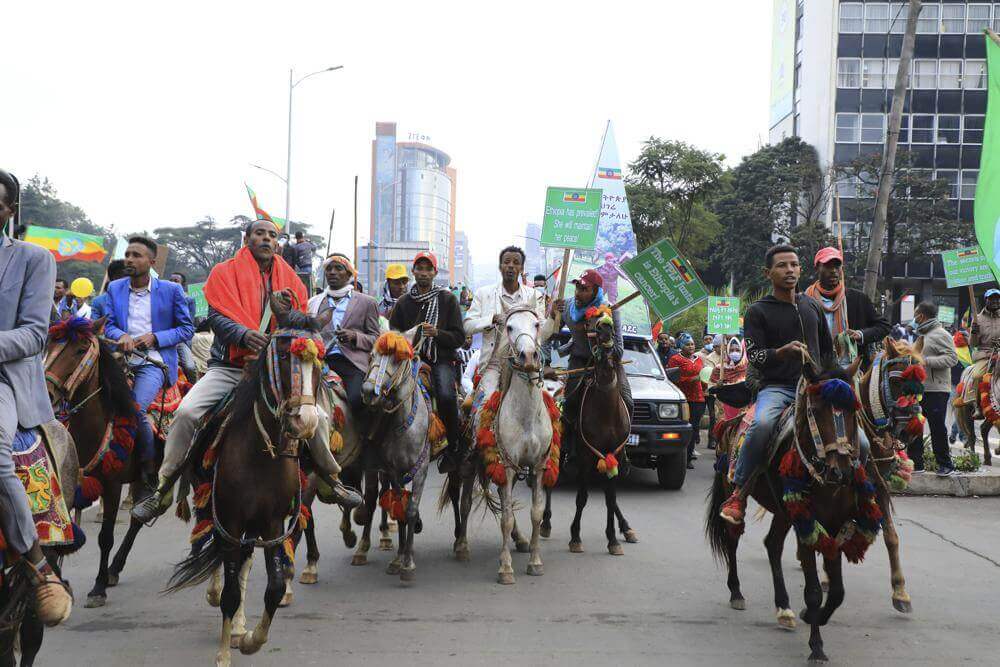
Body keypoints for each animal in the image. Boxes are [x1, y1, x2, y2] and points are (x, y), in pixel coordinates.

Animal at [162, 320, 322, 664]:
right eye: (284, 357)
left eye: (319, 363)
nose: (305, 422)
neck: (259, 452)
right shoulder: (230, 519)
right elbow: (230, 590)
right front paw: (224, 654)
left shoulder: (273, 523)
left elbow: (274, 587)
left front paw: (250, 640)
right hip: (211, 503)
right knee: (215, 544)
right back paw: (217, 598)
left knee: (244, 560)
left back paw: (237, 627)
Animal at [362, 332, 436, 580]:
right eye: (371, 355)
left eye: (396, 359)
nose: (368, 390)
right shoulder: (394, 470)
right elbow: (399, 507)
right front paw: (398, 558)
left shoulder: (421, 469)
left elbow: (410, 509)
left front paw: (408, 563)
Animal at [458, 304, 560, 584]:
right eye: (510, 327)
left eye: (536, 325)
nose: (529, 356)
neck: (525, 416)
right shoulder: (506, 466)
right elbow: (504, 518)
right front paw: (505, 568)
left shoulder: (537, 467)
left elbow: (535, 513)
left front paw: (535, 562)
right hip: (471, 464)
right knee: (465, 503)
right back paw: (461, 546)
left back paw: (521, 540)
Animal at [708, 358, 880, 664]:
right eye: (816, 410)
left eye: (852, 411)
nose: (840, 471)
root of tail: (731, 422)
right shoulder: (806, 525)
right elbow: (813, 591)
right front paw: (816, 646)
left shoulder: (833, 524)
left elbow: (837, 592)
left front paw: (812, 616)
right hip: (736, 490)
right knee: (733, 538)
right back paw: (736, 591)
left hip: (785, 512)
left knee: (772, 544)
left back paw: (784, 608)